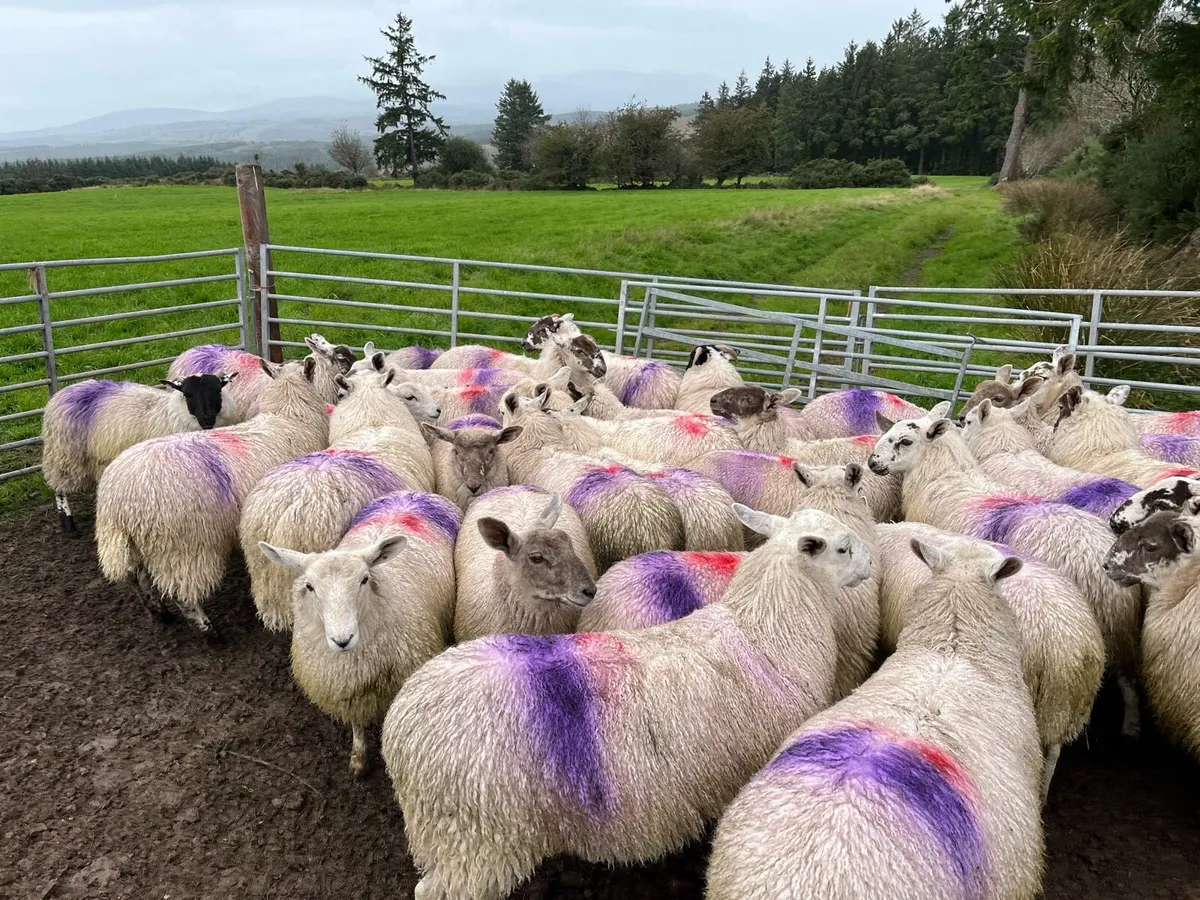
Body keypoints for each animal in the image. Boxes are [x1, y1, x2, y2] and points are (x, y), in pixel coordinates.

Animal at [41, 373, 238, 533]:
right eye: (187, 394)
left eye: (217, 391)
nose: (207, 420)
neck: (168, 413)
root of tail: (67, 389)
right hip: (62, 455)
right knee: (59, 489)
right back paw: (67, 522)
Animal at [95, 358, 331, 636]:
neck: (290, 416)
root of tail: (116, 500)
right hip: (181, 546)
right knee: (182, 593)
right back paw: (209, 631)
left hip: (136, 545)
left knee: (138, 579)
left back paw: (160, 614)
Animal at [258, 489, 460, 776]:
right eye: (309, 586)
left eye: (364, 579)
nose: (342, 640)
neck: (354, 663)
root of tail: (410, 495)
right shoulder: (347, 691)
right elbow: (356, 723)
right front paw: (358, 758)